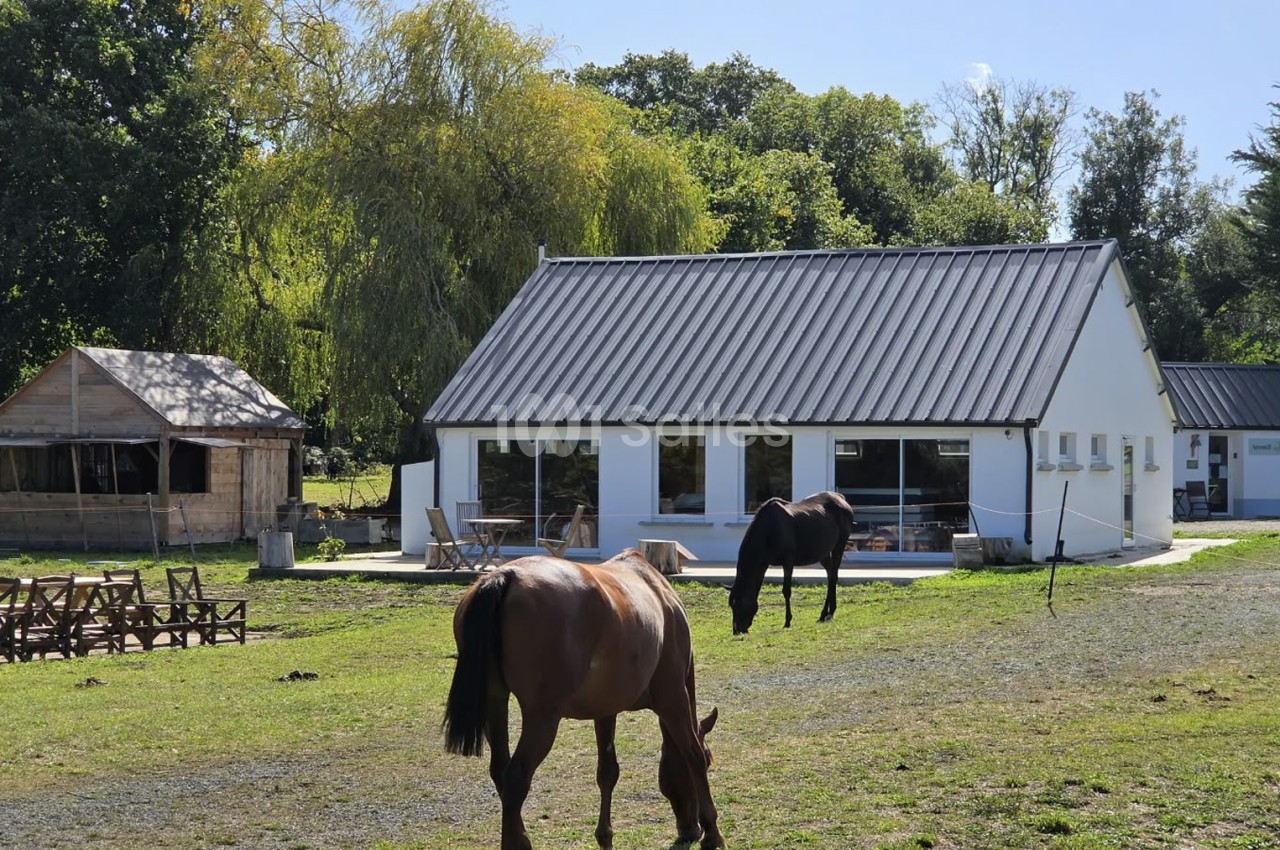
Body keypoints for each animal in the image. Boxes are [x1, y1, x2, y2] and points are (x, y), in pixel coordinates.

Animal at [443, 549, 724, 850]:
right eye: (711, 760)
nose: (690, 830)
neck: (659, 595)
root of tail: (505, 576)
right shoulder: (673, 698)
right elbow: (693, 754)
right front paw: (712, 831)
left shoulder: (605, 709)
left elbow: (608, 772)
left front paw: (605, 837)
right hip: (543, 718)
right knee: (516, 777)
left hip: (496, 702)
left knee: (500, 772)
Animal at [729, 490, 854, 634]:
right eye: (731, 605)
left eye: (739, 605)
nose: (737, 630)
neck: (769, 529)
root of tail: (840, 498)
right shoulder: (763, 564)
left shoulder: (788, 563)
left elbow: (786, 591)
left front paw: (787, 621)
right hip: (823, 552)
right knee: (830, 576)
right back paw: (825, 614)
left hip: (839, 546)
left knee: (833, 577)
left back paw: (828, 613)